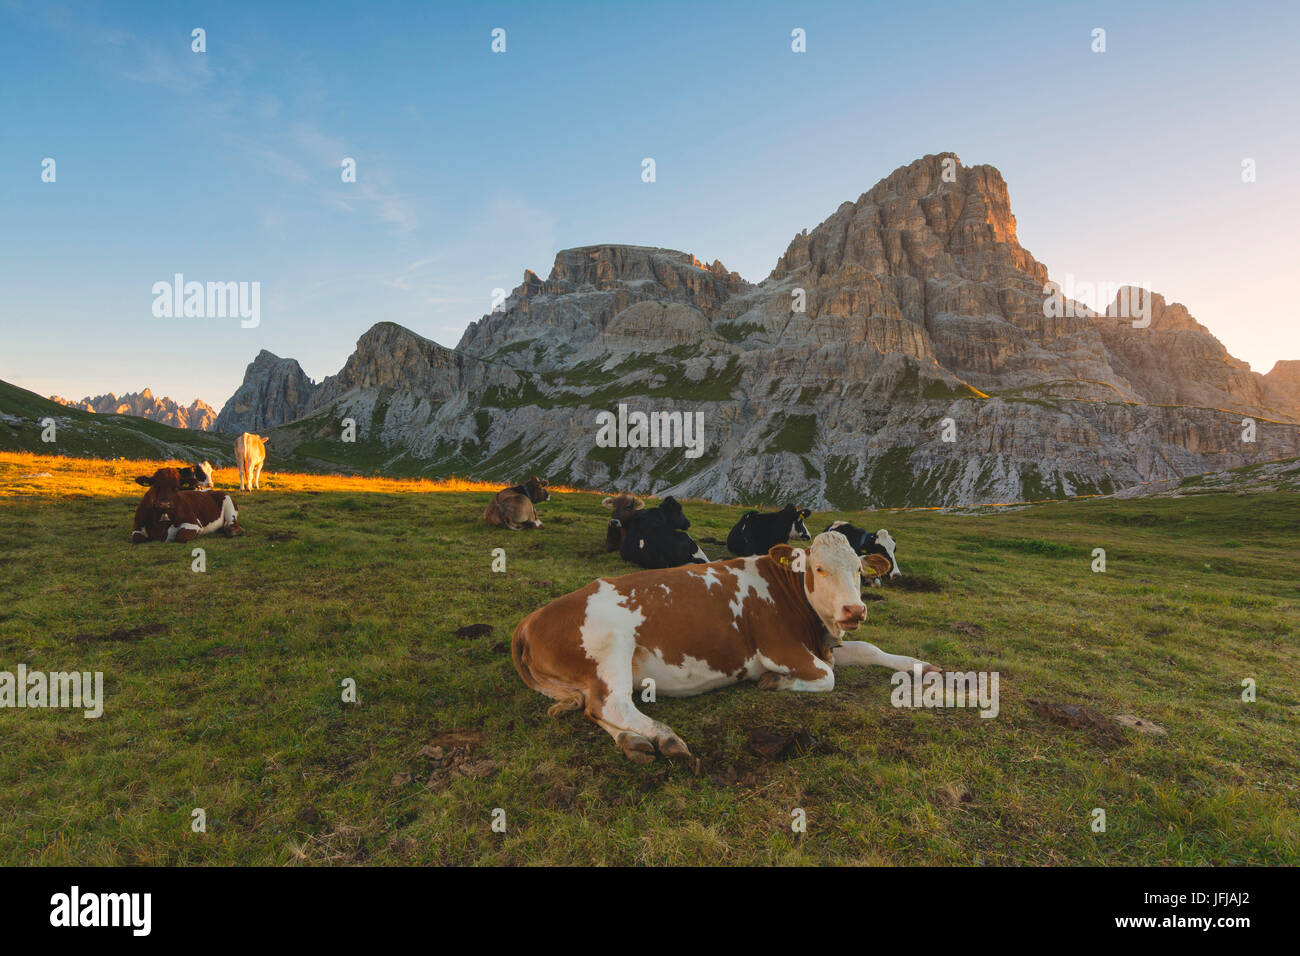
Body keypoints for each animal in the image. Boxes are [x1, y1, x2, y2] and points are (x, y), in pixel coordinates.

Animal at [512, 530, 941, 764]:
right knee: (612, 703)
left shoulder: (823, 643)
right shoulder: (778, 648)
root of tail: (532, 618)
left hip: (591, 677)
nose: (855, 610)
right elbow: (827, 675)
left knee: (594, 708)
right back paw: (665, 738)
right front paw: (774, 683)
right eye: (819, 569)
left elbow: (870, 649)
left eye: (859, 571)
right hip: (611, 647)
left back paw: (634, 742)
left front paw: (921, 666)